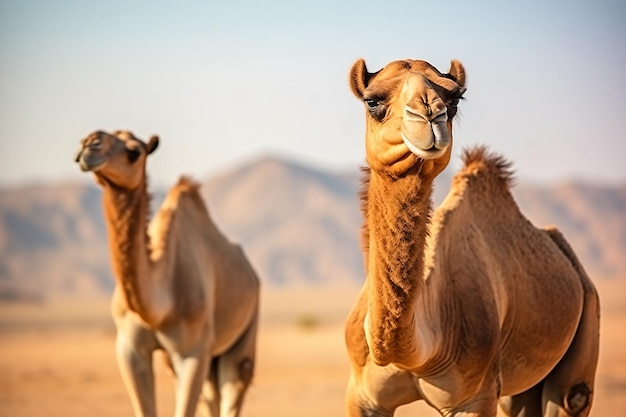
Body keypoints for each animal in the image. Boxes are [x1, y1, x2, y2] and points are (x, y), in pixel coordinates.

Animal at [73, 128, 258, 414]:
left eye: (134, 152)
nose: (89, 143)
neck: (160, 308)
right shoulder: (129, 349)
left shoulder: (194, 351)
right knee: (211, 398)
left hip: (242, 336)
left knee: (235, 382)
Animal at [344, 58, 596, 416]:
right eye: (373, 101)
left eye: (454, 100)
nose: (429, 113)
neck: (420, 353)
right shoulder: (362, 395)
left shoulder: (474, 396)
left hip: (584, 324)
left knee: (572, 395)